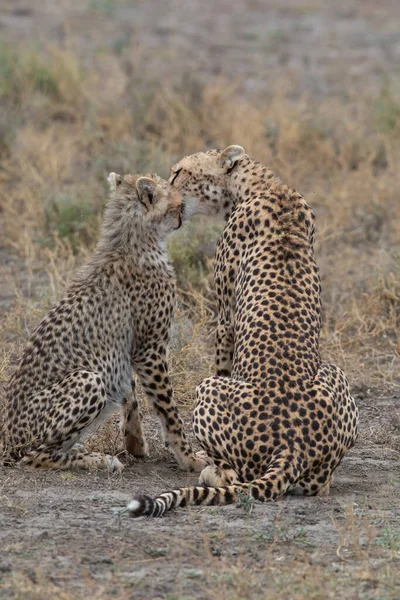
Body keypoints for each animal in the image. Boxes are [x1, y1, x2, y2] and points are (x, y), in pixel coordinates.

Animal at [3, 171, 208, 472]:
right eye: (176, 201)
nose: (186, 210)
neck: (132, 240)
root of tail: (6, 435)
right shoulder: (150, 349)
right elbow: (168, 410)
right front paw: (189, 458)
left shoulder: (127, 349)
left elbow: (129, 394)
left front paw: (135, 443)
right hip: (87, 379)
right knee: (33, 456)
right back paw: (97, 459)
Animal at [126, 144, 358, 516]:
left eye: (179, 173)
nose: (167, 195)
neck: (263, 185)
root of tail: (291, 446)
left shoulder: (225, 318)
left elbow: (223, 360)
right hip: (335, 374)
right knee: (320, 485)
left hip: (207, 389)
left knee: (236, 476)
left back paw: (211, 470)